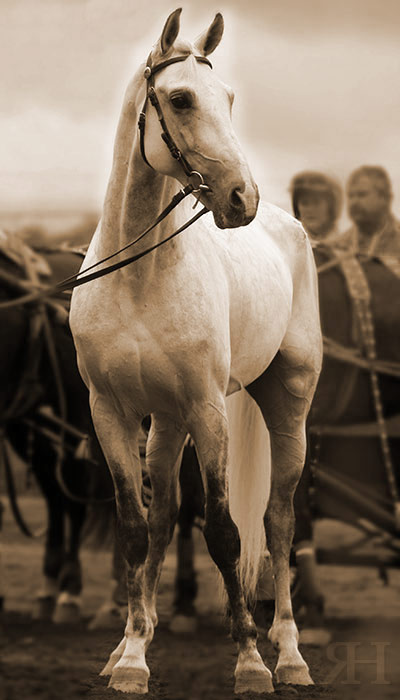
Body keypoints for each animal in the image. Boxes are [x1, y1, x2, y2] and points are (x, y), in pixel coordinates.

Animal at [70, 9, 322, 695]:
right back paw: (129, 645)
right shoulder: (112, 412)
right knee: (163, 516)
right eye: (180, 98)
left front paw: (250, 663)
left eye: (229, 98)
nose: (241, 198)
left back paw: (290, 653)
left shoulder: (209, 410)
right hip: (166, 421)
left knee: (279, 521)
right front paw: (132, 658)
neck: (139, 277)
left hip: (286, 405)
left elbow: (225, 532)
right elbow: (136, 530)